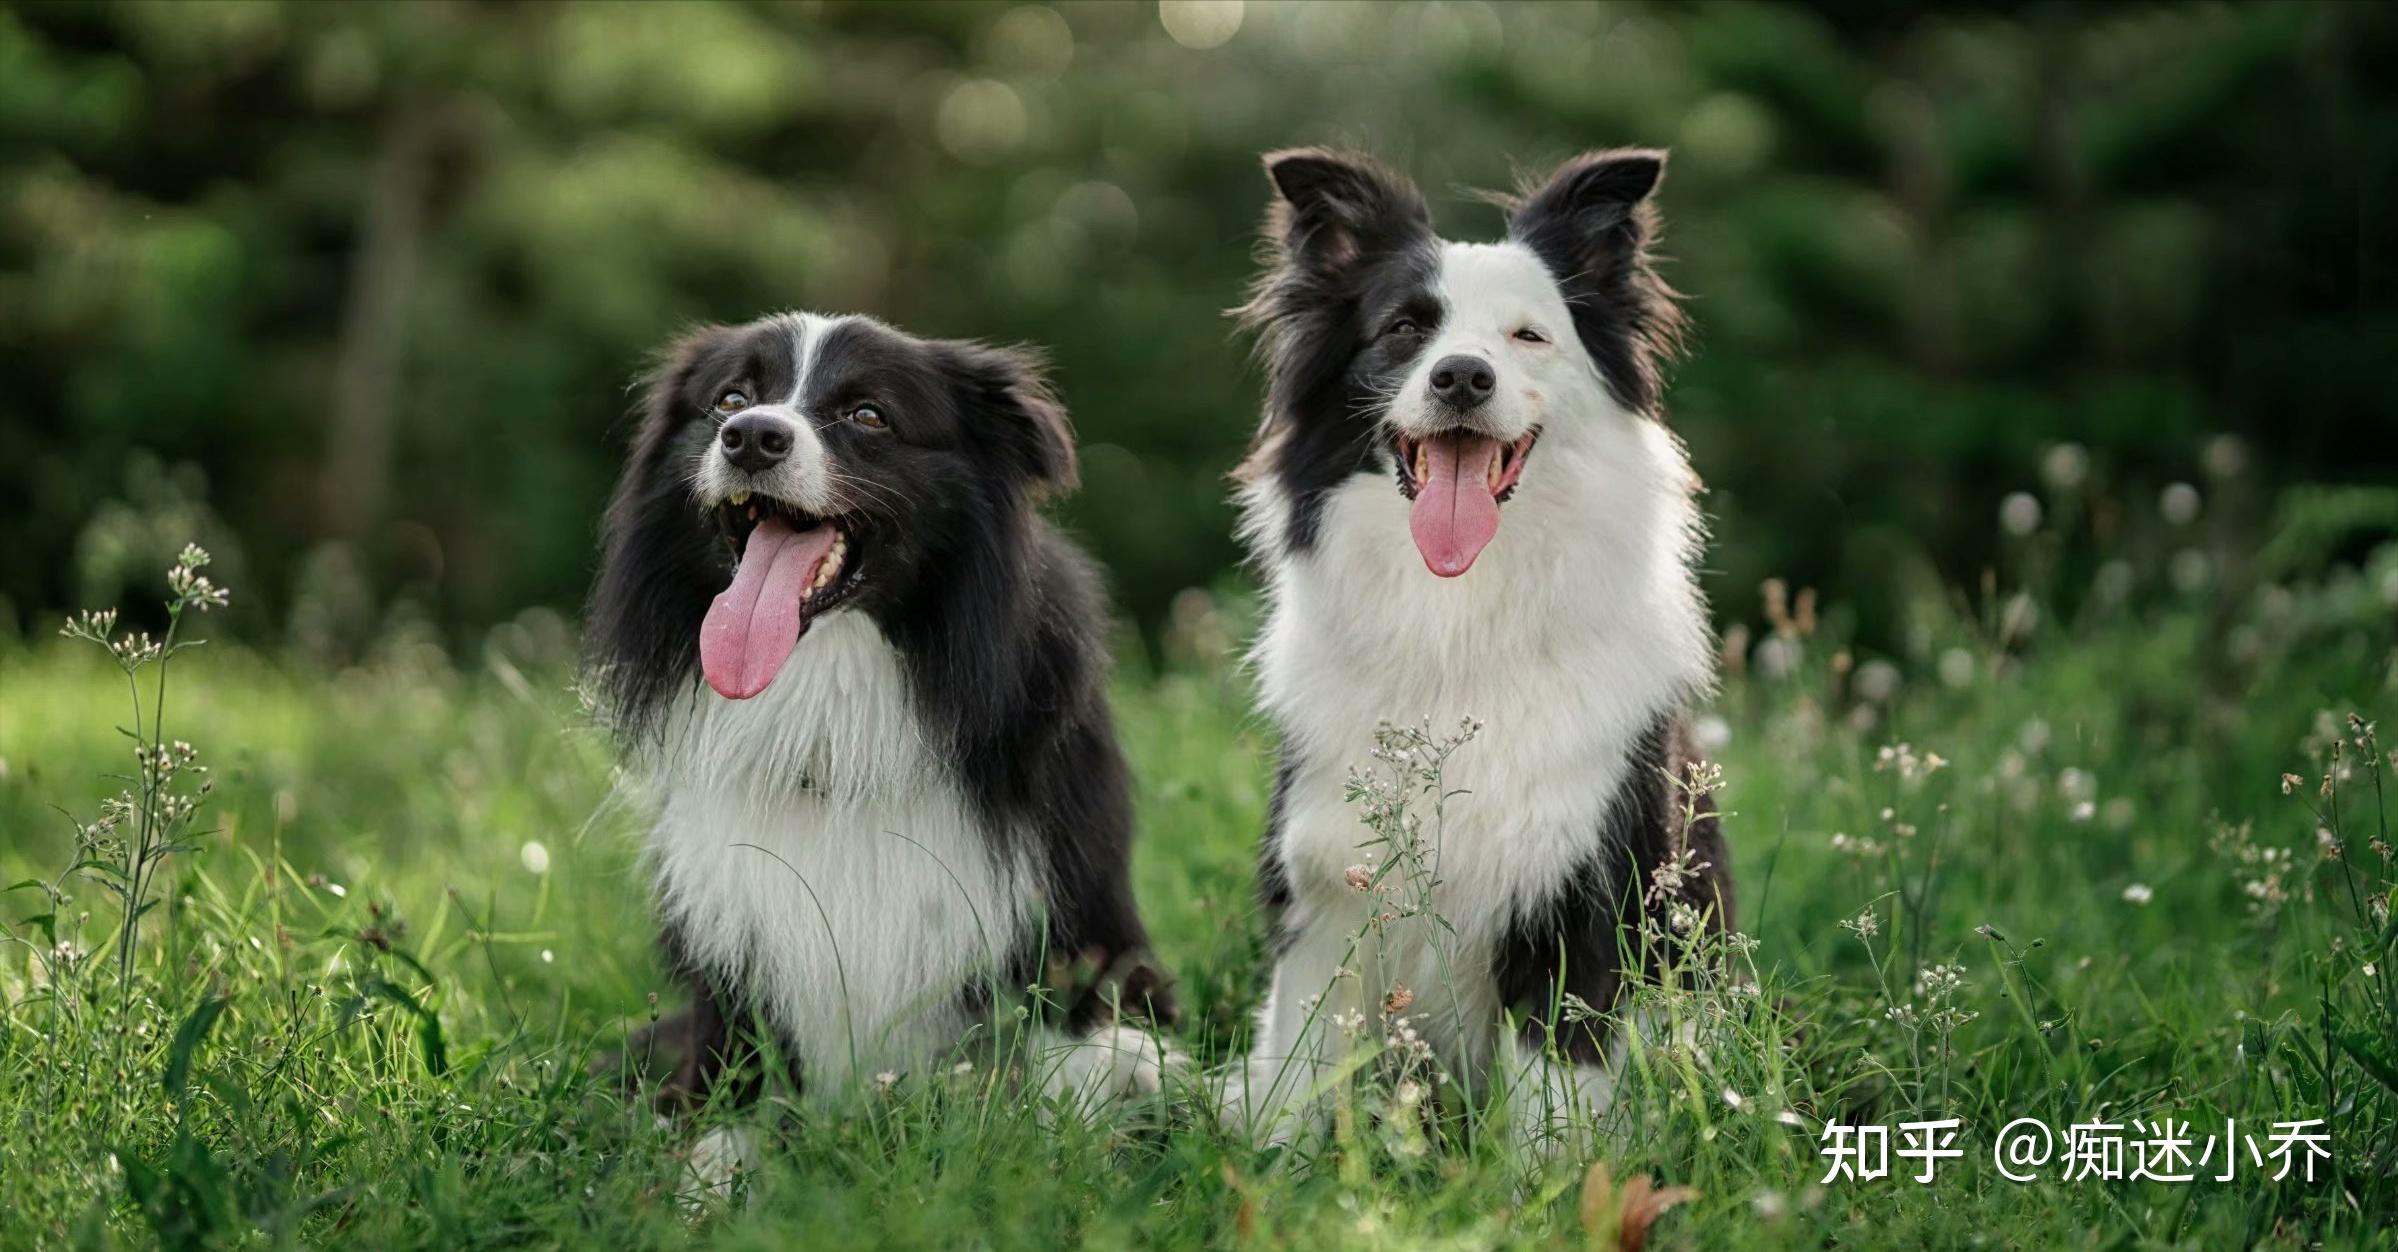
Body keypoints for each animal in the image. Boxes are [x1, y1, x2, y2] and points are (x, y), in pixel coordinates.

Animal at [1227, 148, 1736, 1151]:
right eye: (1403, 329)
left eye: (1528, 337)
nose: (1461, 377)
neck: (1458, 618)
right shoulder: (1321, 903)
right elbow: (1296, 1085)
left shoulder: (1578, 907)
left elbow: (1553, 1113)